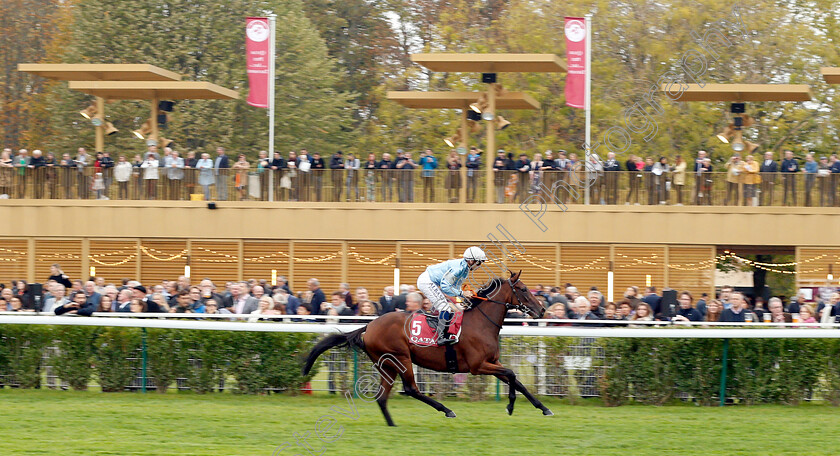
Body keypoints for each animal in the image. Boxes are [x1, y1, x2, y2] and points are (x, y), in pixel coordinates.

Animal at [300, 268, 552, 426]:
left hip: (386, 366)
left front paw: (543, 408)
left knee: (382, 397)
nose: (542, 310)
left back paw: (392, 425)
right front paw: (510, 406)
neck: (481, 322)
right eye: (523, 289)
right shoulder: (478, 365)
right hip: (400, 358)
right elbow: (512, 374)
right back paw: (446, 410)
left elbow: (516, 380)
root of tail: (369, 326)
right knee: (411, 389)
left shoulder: (492, 362)